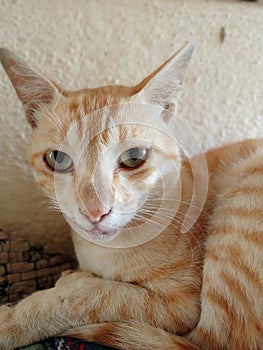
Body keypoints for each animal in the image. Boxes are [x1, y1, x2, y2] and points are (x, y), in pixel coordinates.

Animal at [0, 44, 262, 350]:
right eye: (57, 159)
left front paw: (15, 318)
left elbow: (91, 295)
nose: (95, 211)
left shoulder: (177, 306)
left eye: (134, 157)